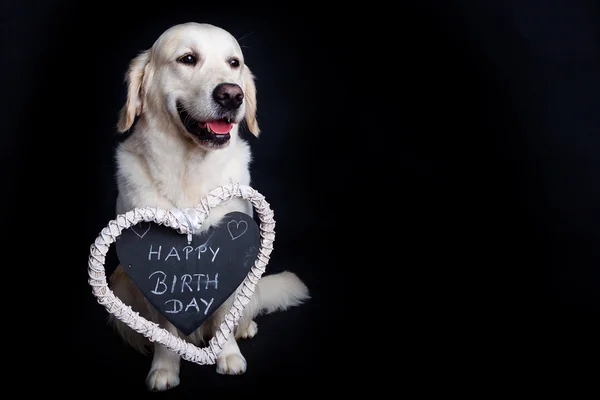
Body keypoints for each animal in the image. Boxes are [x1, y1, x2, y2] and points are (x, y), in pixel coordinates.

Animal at [108, 21, 312, 390]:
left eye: (234, 63)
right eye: (187, 59)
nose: (232, 94)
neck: (190, 169)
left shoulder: (234, 258)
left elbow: (223, 317)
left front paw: (228, 355)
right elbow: (166, 328)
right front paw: (164, 368)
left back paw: (246, 327)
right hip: (119, 281)